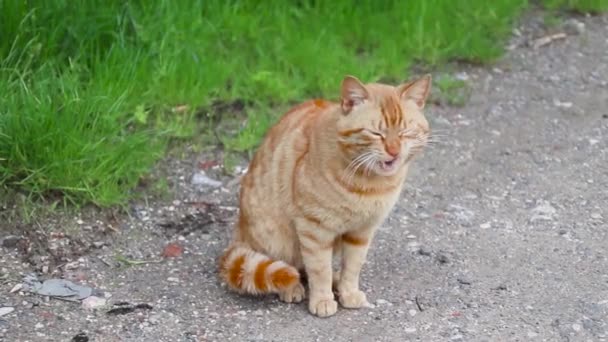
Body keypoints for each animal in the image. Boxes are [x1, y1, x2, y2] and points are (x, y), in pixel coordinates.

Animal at [218, 73, 432, 316]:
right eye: (376, 133)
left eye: (405, 132)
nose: (394, 151)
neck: (369, 184)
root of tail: (239, 233)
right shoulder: (315, 229)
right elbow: (320, 269)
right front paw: (322, 299)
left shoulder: (362, 232)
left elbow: (352, 267)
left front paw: (348, 292)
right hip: (274, 237)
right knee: (288, 267)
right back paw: (292, 287)